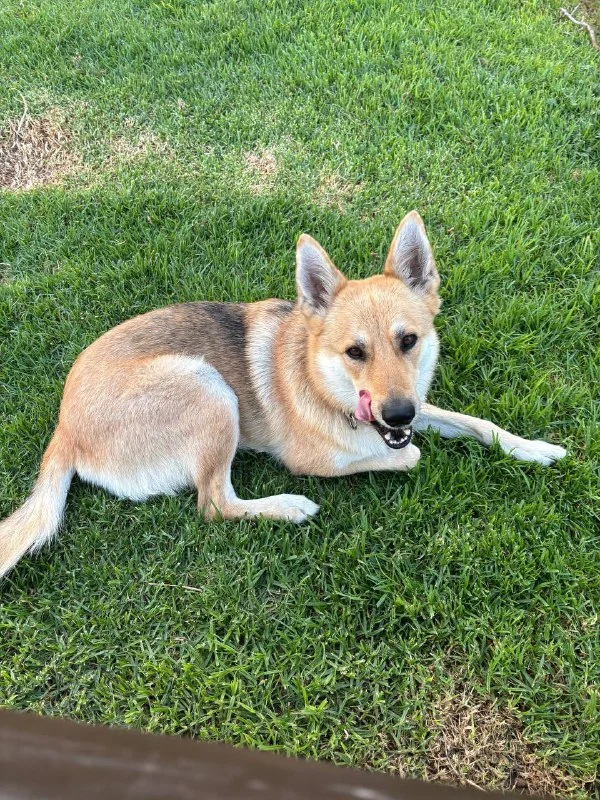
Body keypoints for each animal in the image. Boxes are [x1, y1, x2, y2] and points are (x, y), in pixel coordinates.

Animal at [0, 211, 566, 577]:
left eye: (408, 341)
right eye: (355, 352)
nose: (399, 413)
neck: (324, 383)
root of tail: (64, 428)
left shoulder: (415, 410)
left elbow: (477, 424)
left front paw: (532, 448)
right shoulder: (318, 457)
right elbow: (409, 456)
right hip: (208, 388)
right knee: (214, 503)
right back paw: (289, 507)